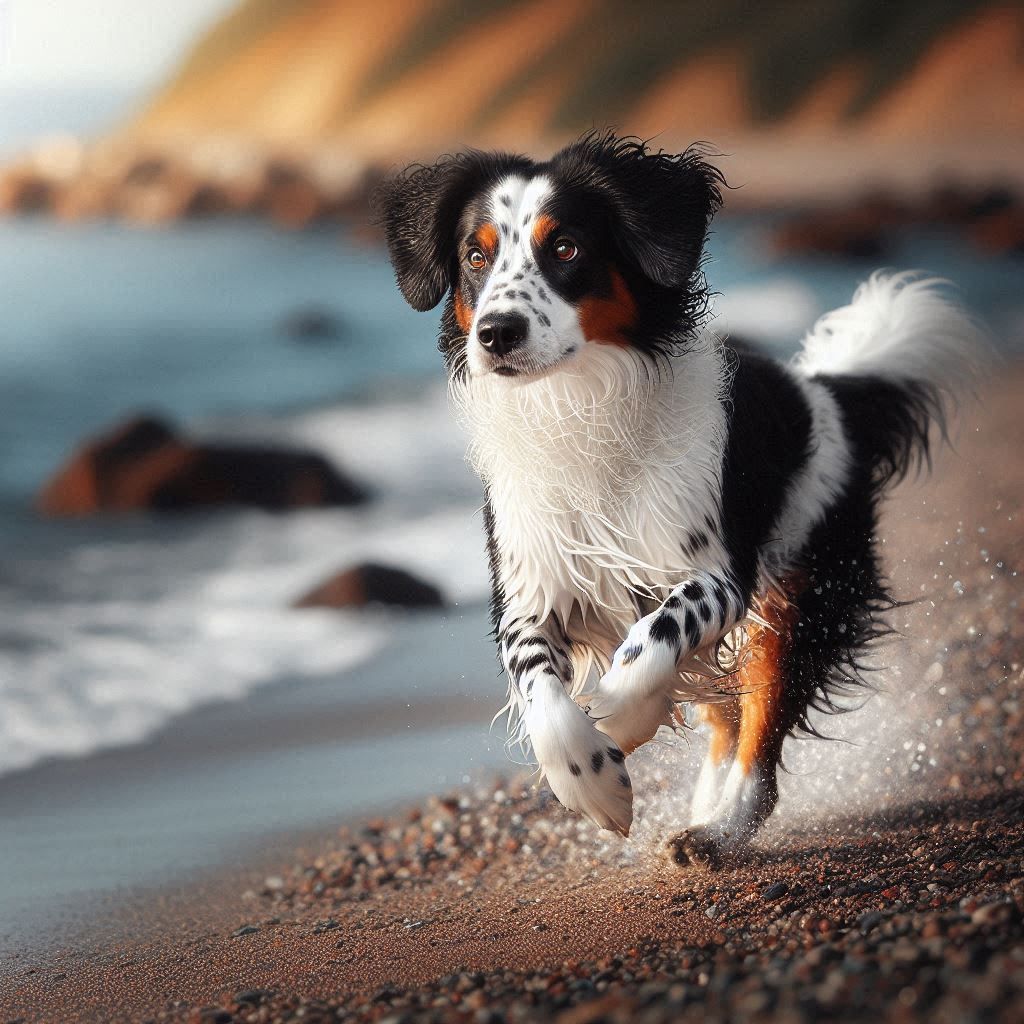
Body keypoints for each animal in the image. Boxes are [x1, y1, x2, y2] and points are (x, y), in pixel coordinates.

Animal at [376, 130, 983, 864]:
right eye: (475, 255)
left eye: (566, 248)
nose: (496, 333)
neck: (578, 406)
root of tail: (825, 394)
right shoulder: (529, 591)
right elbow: (542, 691)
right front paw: (591, 780)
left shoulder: (718, 574)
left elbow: (654, 637)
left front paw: (618, 717)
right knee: (727, 722)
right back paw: (702, 811)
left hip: (796, 604)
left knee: (758, 738)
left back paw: (719, 832)